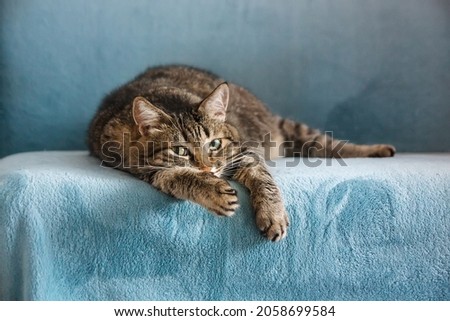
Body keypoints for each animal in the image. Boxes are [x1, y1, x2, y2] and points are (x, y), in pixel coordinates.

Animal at [87, 64, 394, 240]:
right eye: (180, 150)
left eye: (214, 144)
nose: (208, 168)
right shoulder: (142, 168)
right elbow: (178, 175)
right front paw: (212, 190)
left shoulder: (244, 152)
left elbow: (264, 179)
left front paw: (273, 213)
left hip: (292, 131)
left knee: (331, 144)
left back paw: (379, 149)